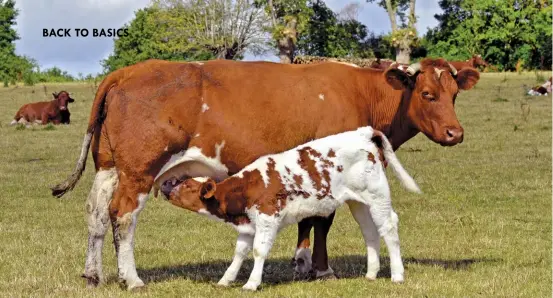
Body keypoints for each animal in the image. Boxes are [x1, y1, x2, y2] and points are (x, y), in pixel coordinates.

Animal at [162, 126, 420, 292]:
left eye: (187, 185)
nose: (166, 184)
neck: (247, 187)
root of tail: (363, 133)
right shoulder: (248, 224)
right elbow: (239, 252)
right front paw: (226, 280)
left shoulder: (267, 219)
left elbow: (258, 251)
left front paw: (251, 283)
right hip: (359, 202)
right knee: (370, 232)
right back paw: (371, 274)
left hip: (378, 196)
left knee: (389, 228)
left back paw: (397, 275)